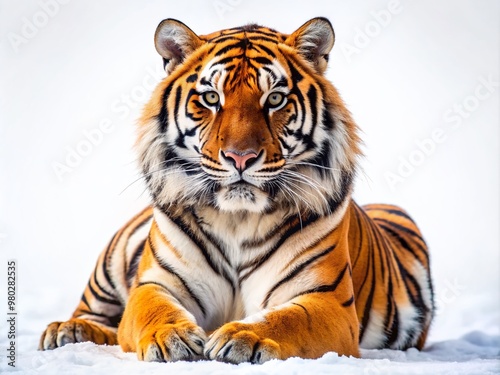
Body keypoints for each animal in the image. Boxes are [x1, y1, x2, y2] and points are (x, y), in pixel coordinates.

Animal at [39, 16, 434, 364]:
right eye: (212, 98)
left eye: (274, 99)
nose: (239, 157)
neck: (237, 219)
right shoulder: (155, 284)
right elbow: (151, 311)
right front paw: (172, 336)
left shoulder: (326, 300)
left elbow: (289, 319)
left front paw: (242, 335)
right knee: (96, 314)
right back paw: (66, 330)